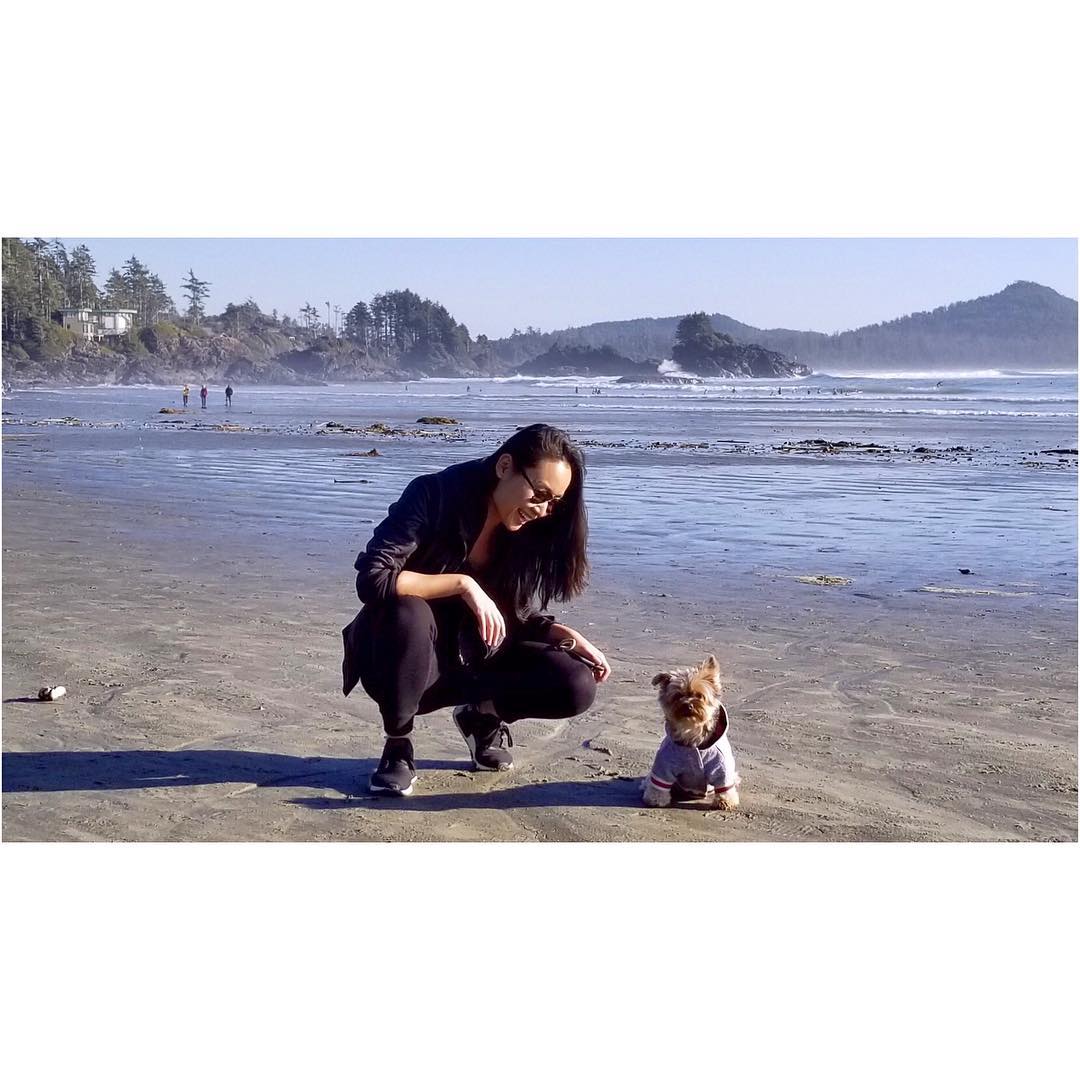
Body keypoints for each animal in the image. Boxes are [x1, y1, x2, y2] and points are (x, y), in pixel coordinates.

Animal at [642, 654, 741, 810]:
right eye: (678, 696)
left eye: (699, 695)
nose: (688, 705)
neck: (691, 729)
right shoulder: (664, 765)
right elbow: (659, 784)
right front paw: (656, 799)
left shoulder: (721, 768)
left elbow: (724, 785)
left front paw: (725, 801)